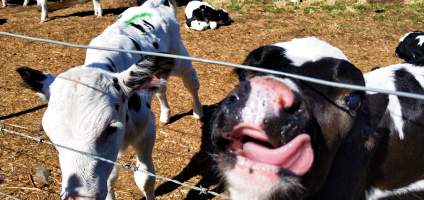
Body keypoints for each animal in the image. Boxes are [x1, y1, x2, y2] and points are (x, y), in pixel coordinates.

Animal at [16, 55, 172, 200]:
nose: (79, 197)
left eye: (110, 128)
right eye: (50, 136)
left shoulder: (147, 130)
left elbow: (145, 178)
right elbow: (110, 179)